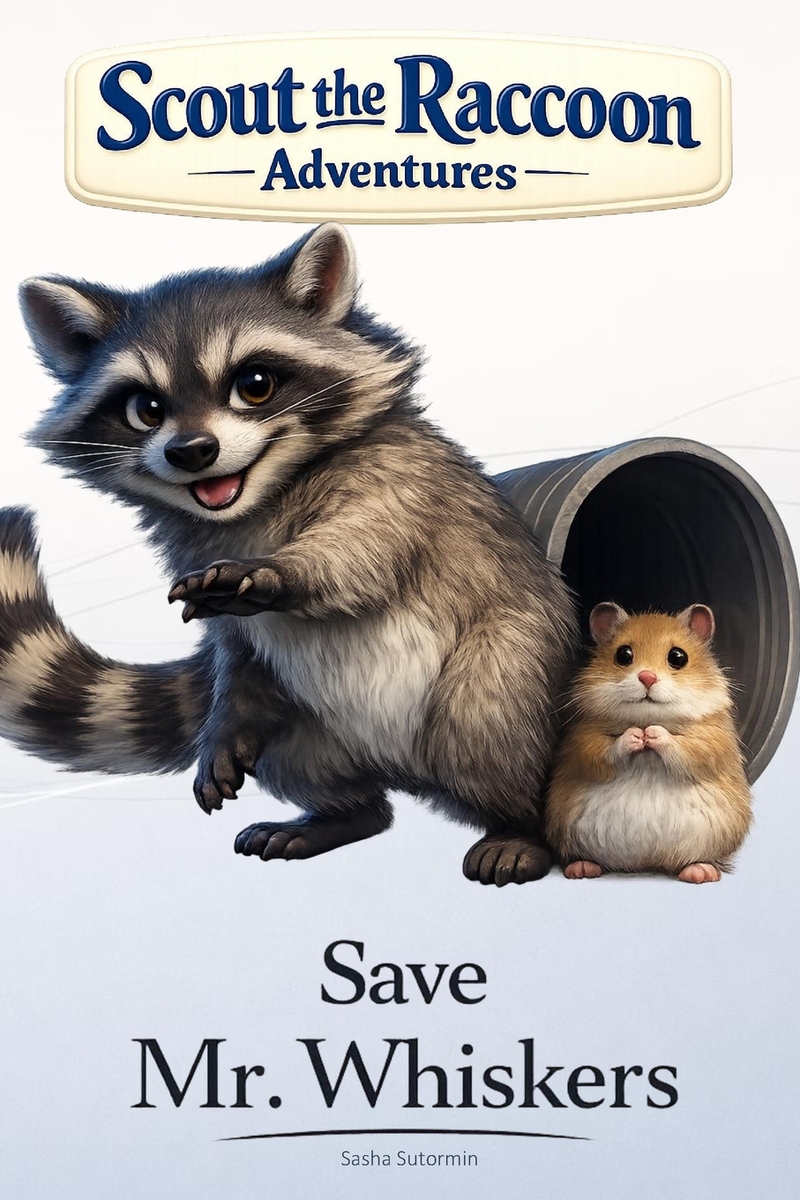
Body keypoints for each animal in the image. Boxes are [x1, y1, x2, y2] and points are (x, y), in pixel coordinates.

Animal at [2, 224, 577, 886]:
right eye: (146, 408)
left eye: (255, 385)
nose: (191, 451)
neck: (256, 502)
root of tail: (406, 771)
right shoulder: (188, 549)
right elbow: (238, 652)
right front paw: (222, 726)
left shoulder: (402, 481)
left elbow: (361, 547)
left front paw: (279, 573)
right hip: (309, 721)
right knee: (305, 759)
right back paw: (342, 815)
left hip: (509, 661)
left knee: (483, 719)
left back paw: (521, 826)